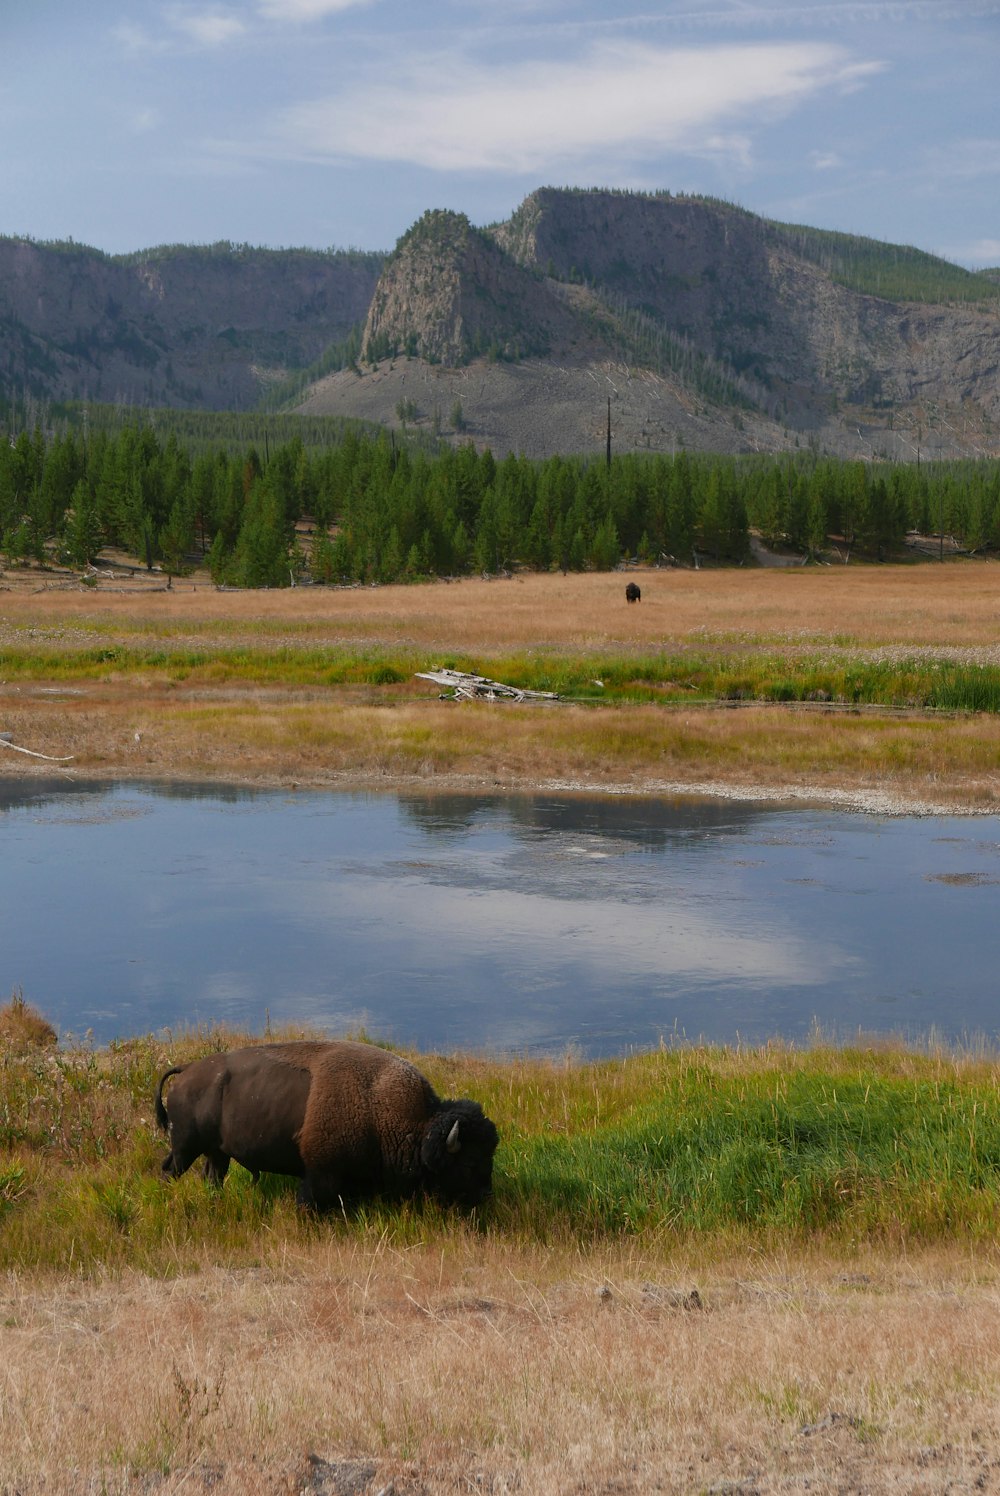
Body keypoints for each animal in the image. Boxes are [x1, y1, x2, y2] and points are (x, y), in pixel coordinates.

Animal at [154, 1047, 497, 1208]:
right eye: (470, 1161)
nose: (486, 1194)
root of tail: (187, 1070)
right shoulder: (320, 1174)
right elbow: (311, 1199)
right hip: (186, 1147)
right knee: (170, 1170)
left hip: (216, 1152)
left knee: (212, 1176)